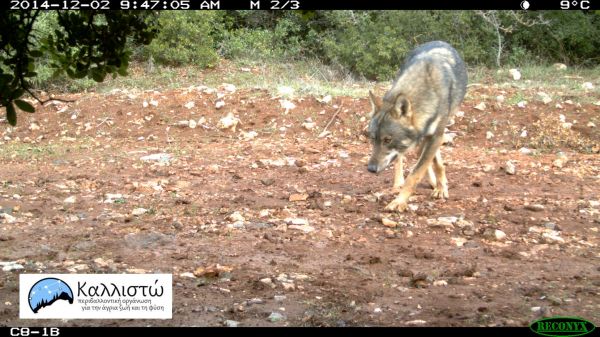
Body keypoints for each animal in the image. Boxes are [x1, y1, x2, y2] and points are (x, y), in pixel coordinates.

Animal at [366, 40, 468, 211]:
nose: (370, 169)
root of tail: (437, 40)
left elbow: (417, 173)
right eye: (373, 139)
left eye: (387, 140)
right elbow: (420, 166)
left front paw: (400, 201)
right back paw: (400, 183)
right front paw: (401, 197)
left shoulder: (436, 135)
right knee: (402, 159)